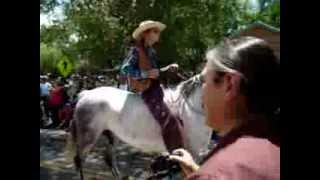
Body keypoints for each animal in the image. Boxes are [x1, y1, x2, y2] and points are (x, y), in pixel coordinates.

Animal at [66, 74, 212, 179]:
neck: (189, 107)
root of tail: (85, 94)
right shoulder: (192, 151)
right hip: (88, 137)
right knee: (79, 161)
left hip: (111, 136)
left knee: (109, 159)